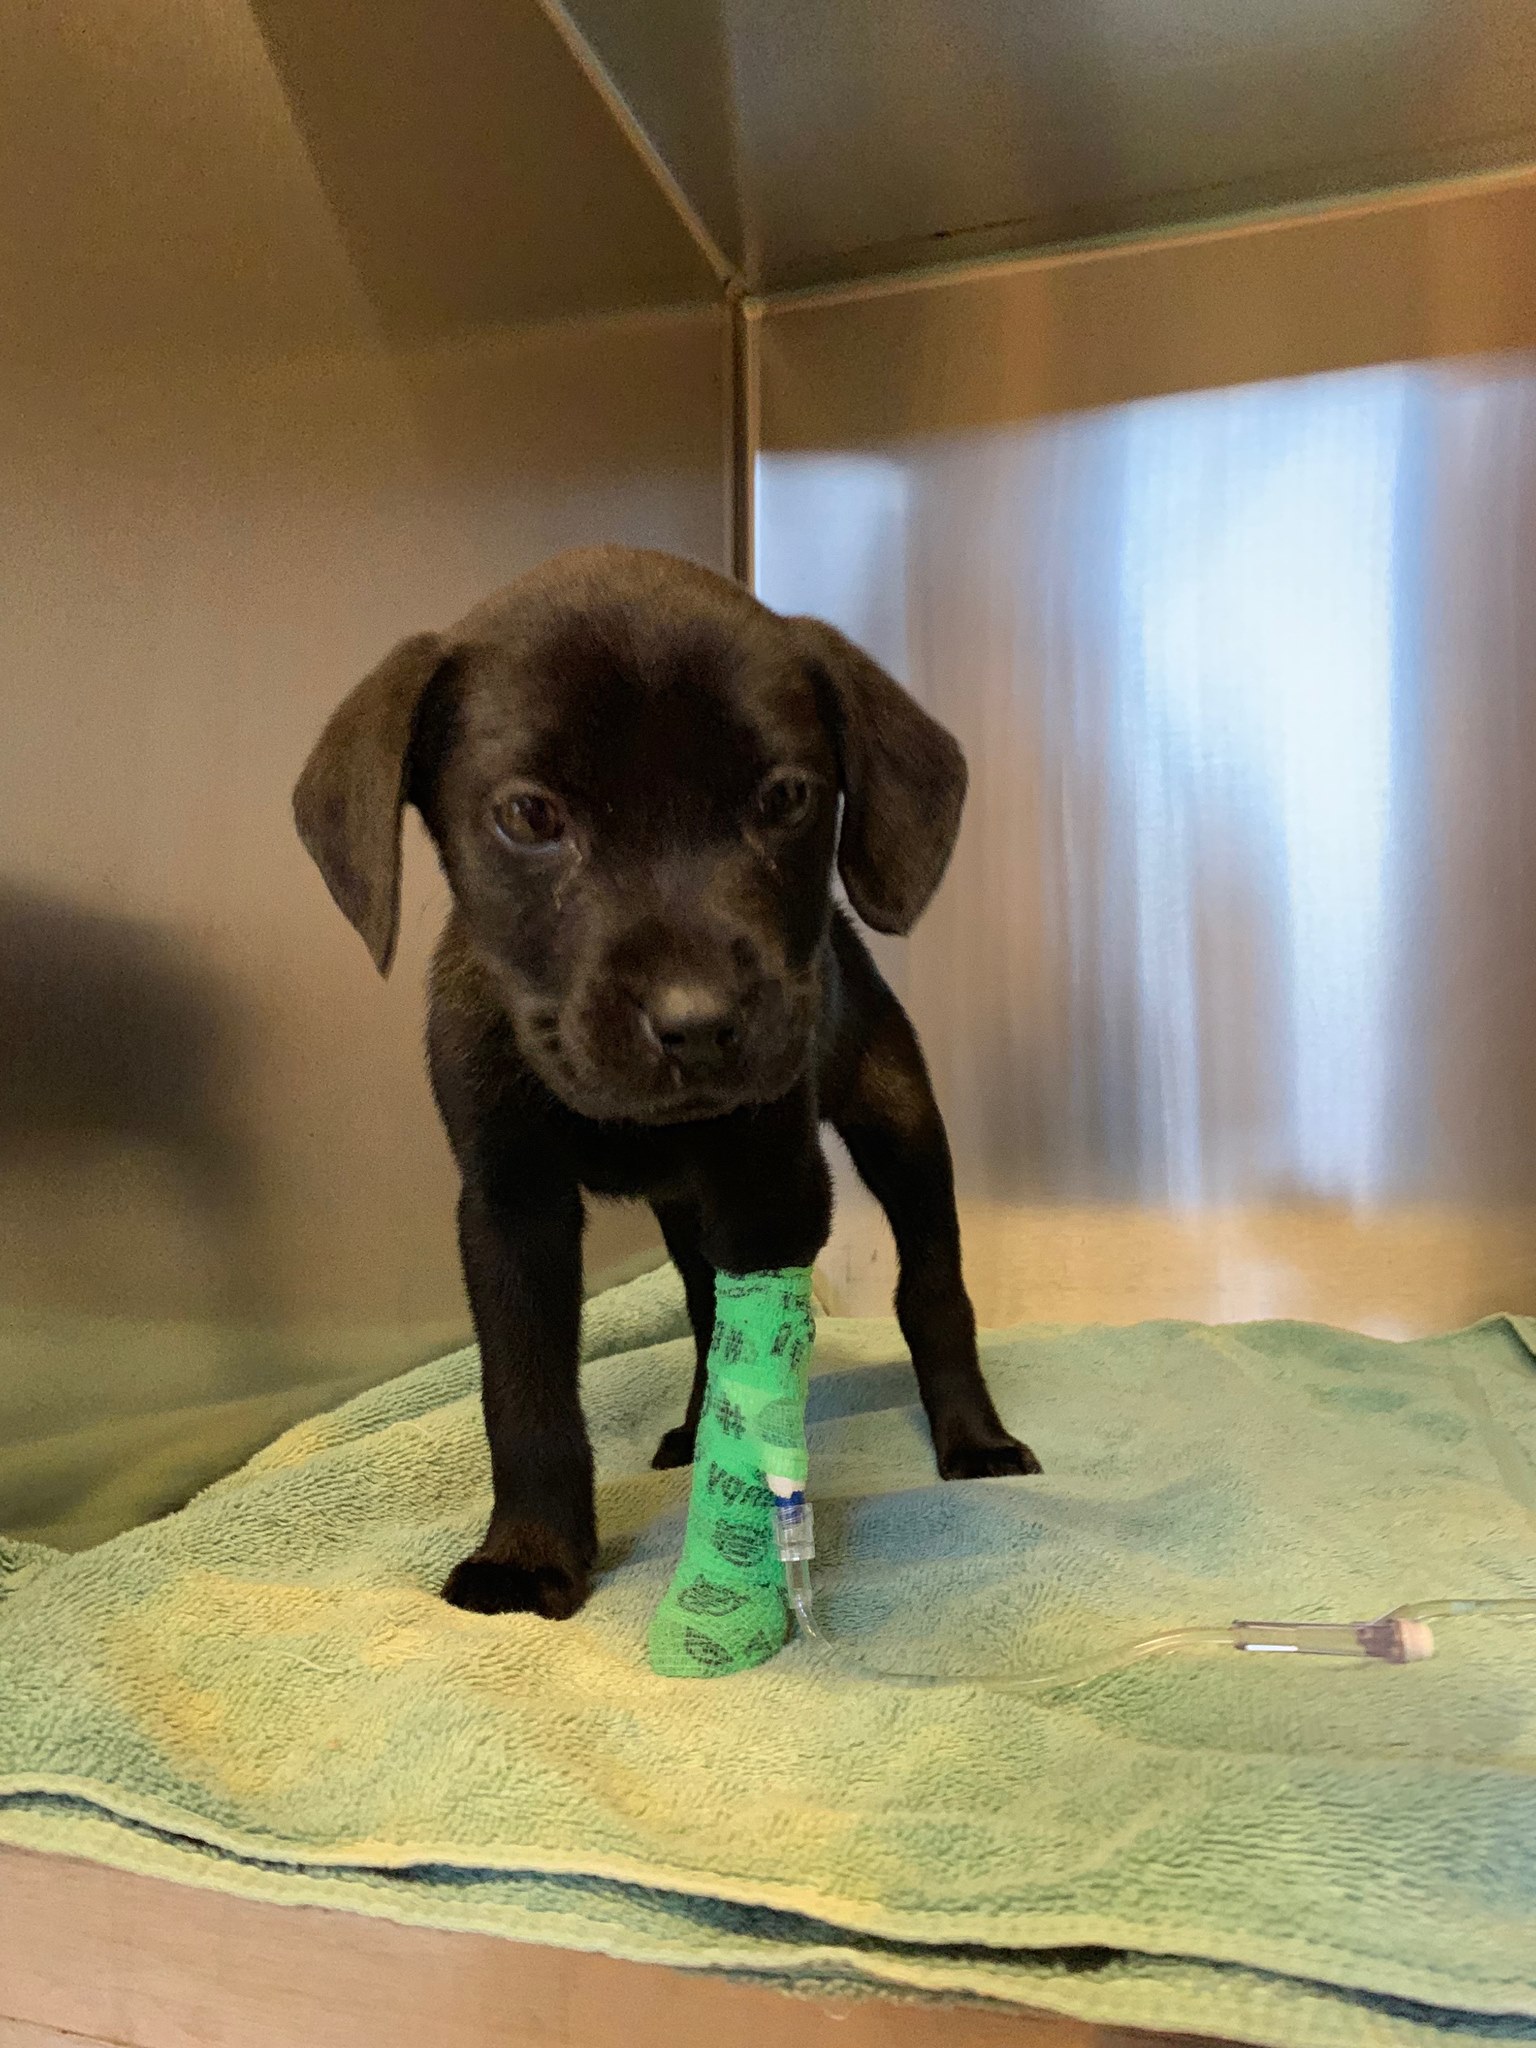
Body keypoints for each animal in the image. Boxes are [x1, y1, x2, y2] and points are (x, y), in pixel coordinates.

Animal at [290, 544, 1036, 1613]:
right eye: (529, 816)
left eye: (786, 799)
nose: (699, 1024)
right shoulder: (509, 1205)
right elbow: (524, 1394)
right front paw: (530, 1553)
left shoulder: (773, 1193)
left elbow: (759, 1381)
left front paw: (748, 1553)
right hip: (689, 1214)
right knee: (699, 1309)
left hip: (899, 1122)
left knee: (932, 1287)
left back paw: (973, 1437)